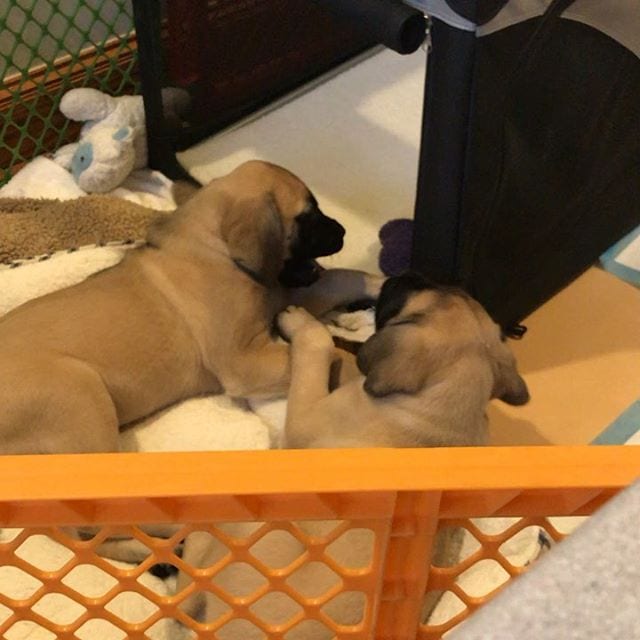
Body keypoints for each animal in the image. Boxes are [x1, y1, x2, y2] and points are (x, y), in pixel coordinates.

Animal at [0, 162, 380, 458]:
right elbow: (337, 353)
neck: (217, 251)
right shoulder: (243, 363)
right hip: (79, 394)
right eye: (306, 217)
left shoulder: (282, 297)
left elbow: (344, 278)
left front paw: (382, 282)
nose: (343, 231)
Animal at [178, 272, 528, 636]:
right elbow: (339, 358)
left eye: (414, 293)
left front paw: (302, 322)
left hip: (249, 522)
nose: (402, 275)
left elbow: (319, 350)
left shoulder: (304, 418)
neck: (445, 410)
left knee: (190, 587)